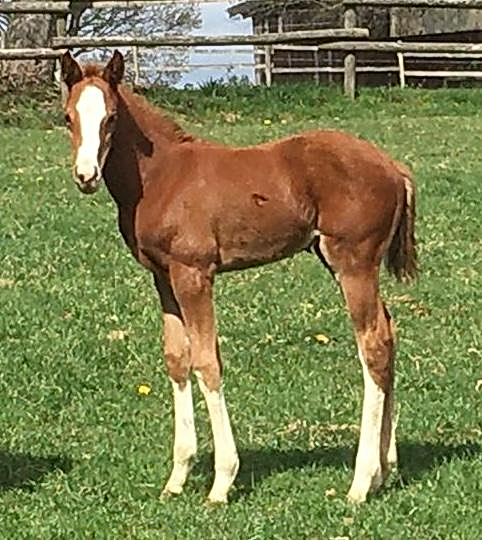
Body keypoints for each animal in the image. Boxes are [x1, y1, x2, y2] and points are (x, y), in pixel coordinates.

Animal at [60, 51, 416, 506]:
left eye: (112, 117)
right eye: (68, 117)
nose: (86, 176)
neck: (161, 176)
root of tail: (392, 167)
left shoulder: (194, 274)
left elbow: (207, 362)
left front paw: (221, 481)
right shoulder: (164, 278)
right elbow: (177, 360)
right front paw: (177, 477)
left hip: (353, 262)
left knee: (372, 346)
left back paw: (360, 482)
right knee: (388, 336)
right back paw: (386, 469)